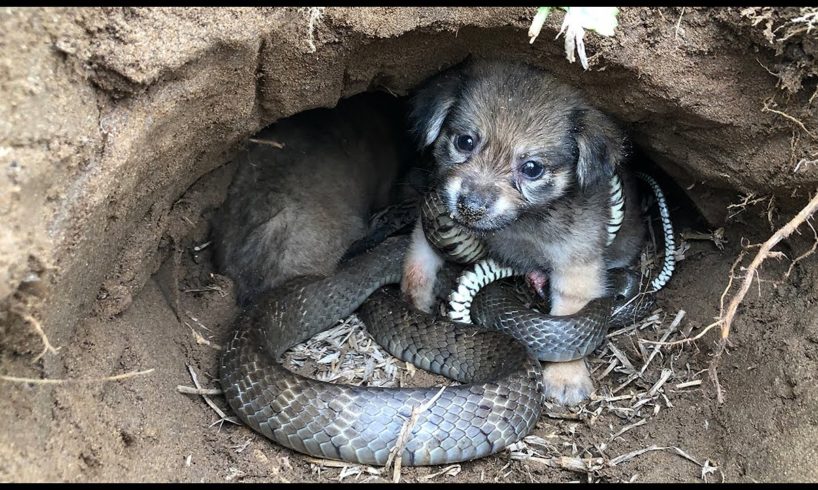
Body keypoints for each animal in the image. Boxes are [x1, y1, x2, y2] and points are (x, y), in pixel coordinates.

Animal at [402, 59, 644, 406]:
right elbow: (417, 267)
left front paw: (566, 376)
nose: (470, 206)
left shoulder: (577, 263)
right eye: (464, 142)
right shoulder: (429, 228)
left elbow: (571, 320)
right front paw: (413, 307)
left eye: (532, 169)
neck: (518, 225)